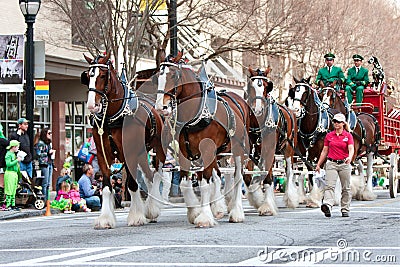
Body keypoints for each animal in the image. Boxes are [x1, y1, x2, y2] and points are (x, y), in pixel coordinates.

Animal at [82, 53, 166, 229]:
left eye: (102, 75)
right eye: (88, 76)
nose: (92, 105)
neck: (113, 117)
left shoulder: (130, 153)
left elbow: (132, 185)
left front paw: (136, 217)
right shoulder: (102, 154)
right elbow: (107, 187)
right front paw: (106, 218)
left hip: (159, 151)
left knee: (156, 175)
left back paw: (152, 210)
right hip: (142, 153)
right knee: (148, 177)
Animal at [153, 51, 253, 226]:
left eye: (173, 75)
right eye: (159, 75)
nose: (161, 107)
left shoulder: (206, 150)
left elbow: (205, 183)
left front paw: (205, 216)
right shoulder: (186, 152)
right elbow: (186, 182)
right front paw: (194, 212)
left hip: (238, 150)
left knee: (237, 177)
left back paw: (236, 212)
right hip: (217, 153)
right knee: (218, 176)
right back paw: (218, 208)